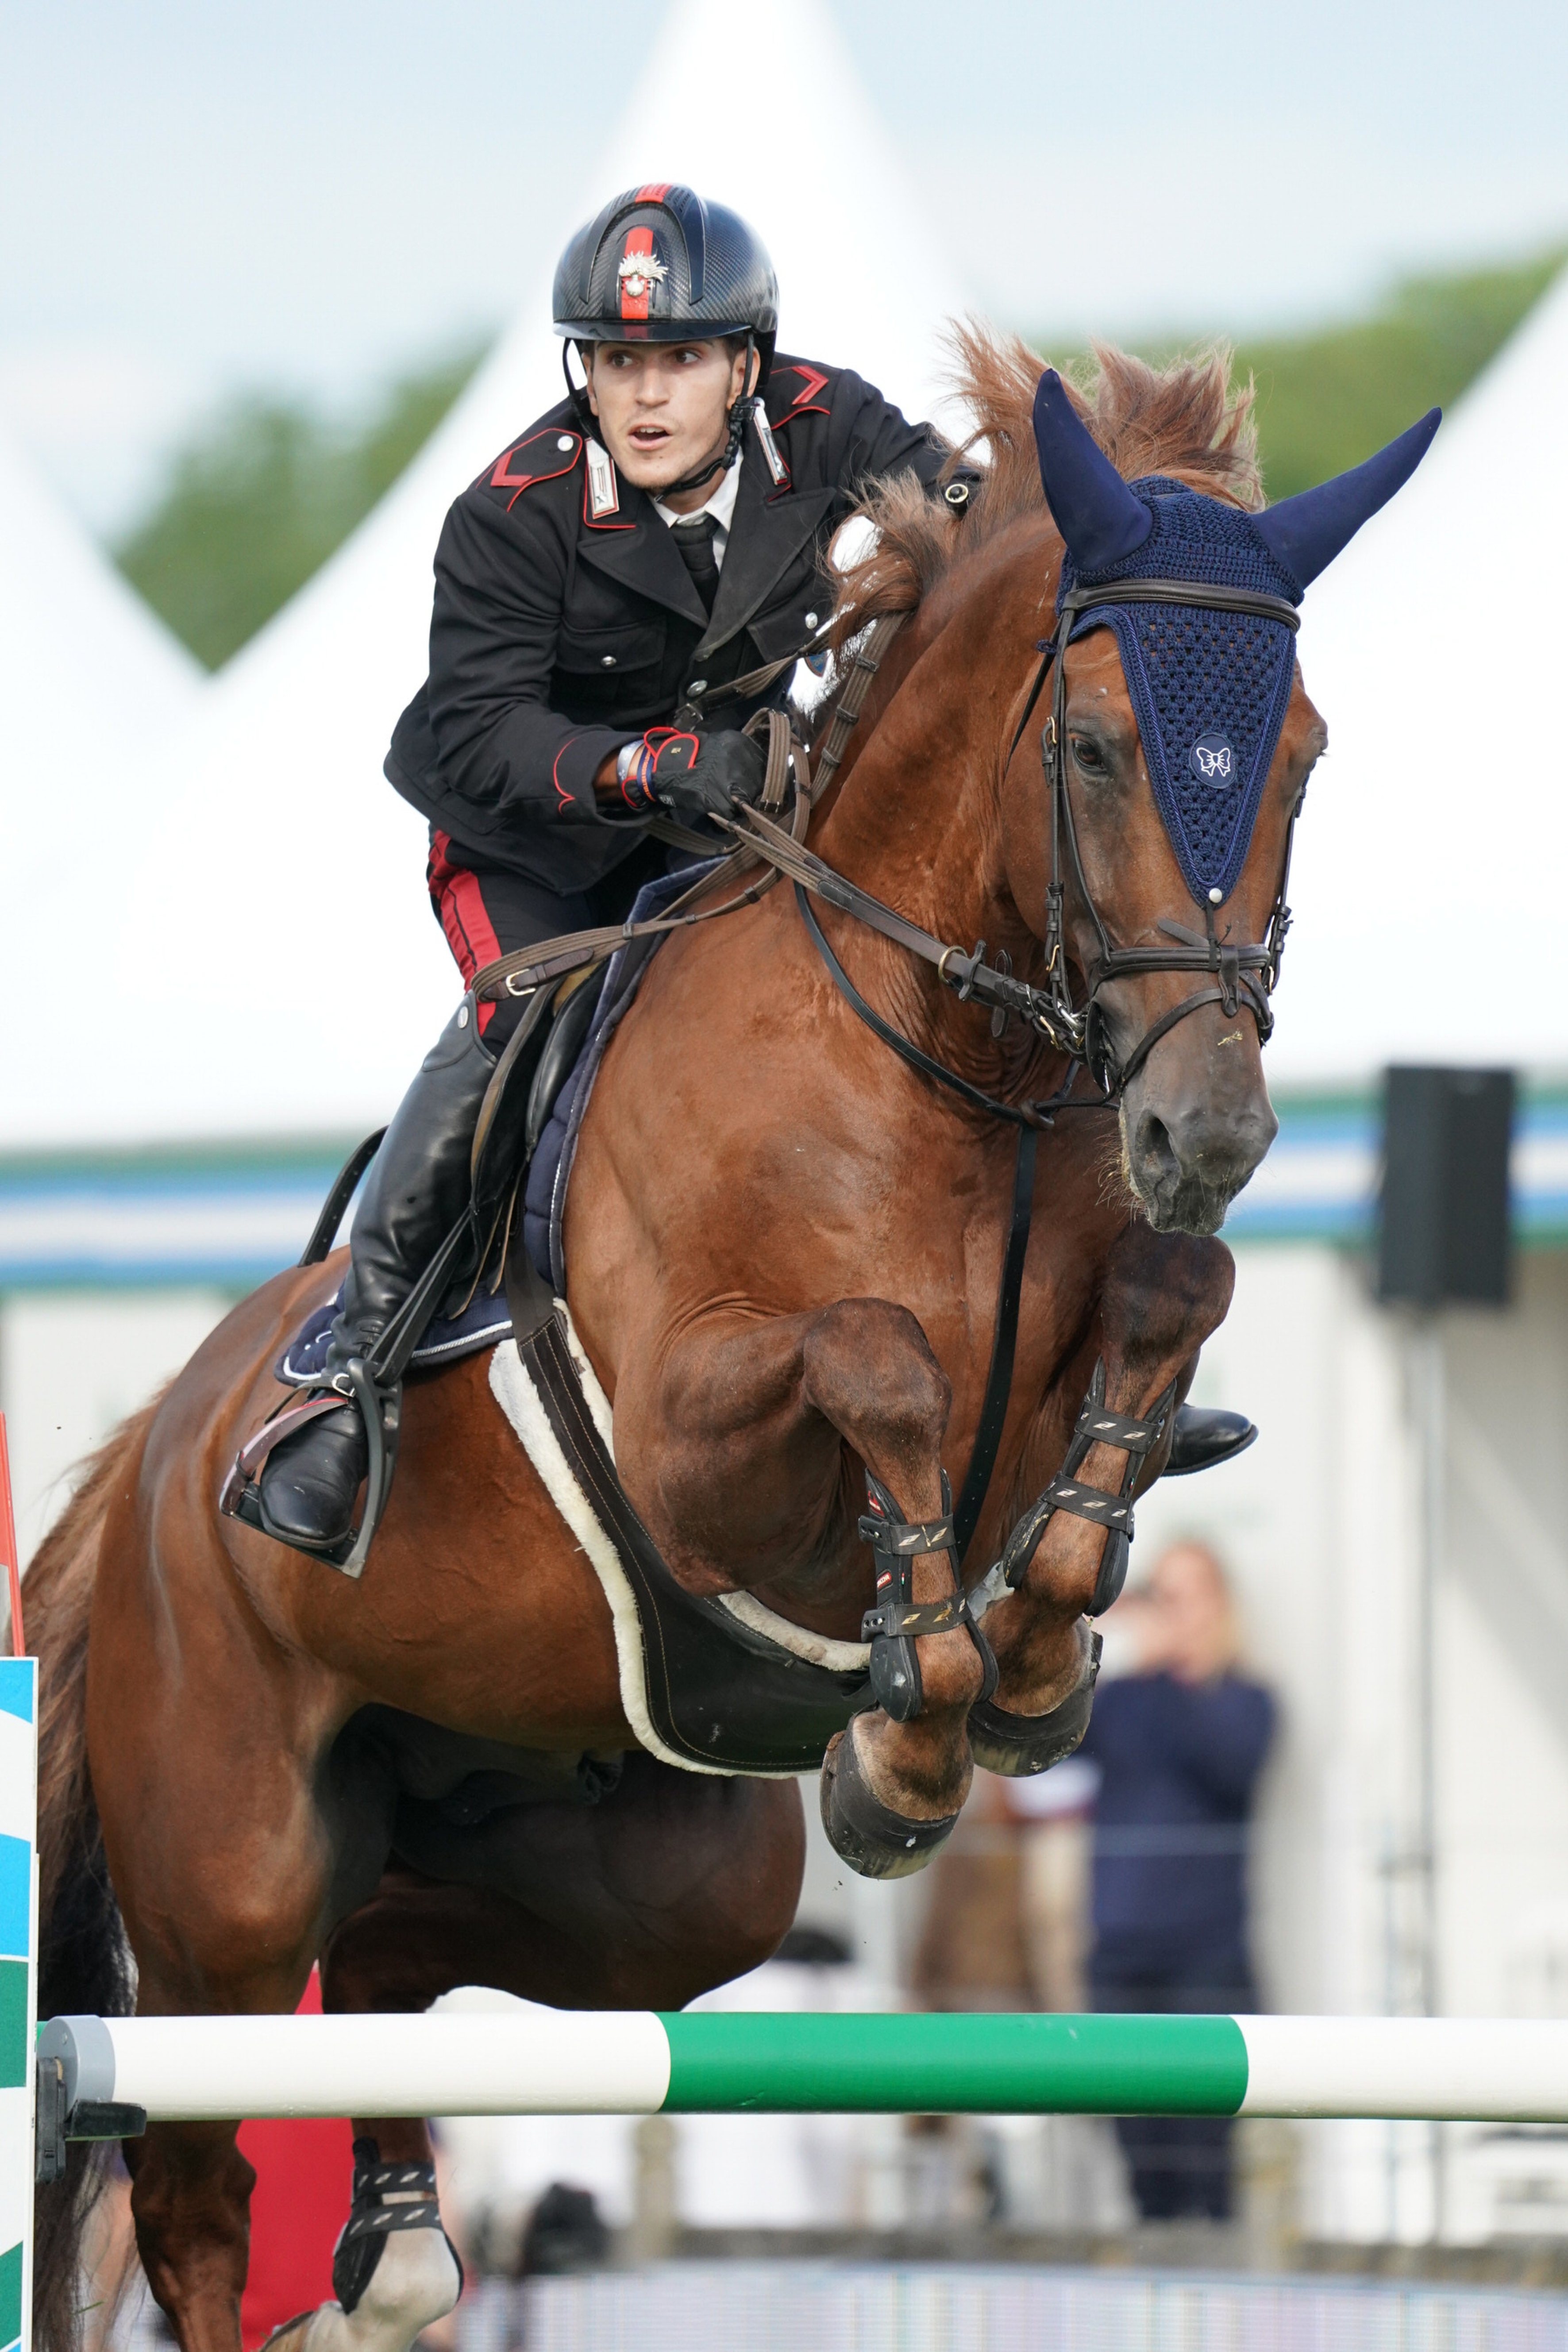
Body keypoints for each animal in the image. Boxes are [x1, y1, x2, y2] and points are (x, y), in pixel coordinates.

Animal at [27, 336, 1382, 2352]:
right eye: (1091, 747)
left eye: (1301, 753)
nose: (1208, 1127)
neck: (944, 1056)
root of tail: (144, 1463)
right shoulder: (687, 1441)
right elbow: (882, 1353)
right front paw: (915, 1727)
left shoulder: (1099, 1299)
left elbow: (1167, 1299)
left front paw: (1031, 1649)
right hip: (225, 1877)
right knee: (193, 2184)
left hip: (653, 1864)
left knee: (397, 1951)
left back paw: (402, 2229)